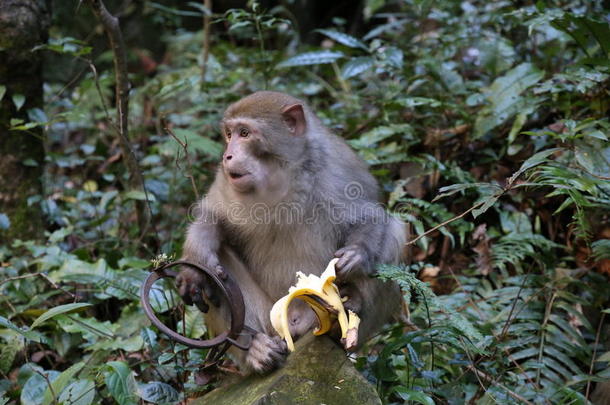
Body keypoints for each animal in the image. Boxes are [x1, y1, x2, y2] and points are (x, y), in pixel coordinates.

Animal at [176, 90, 404, 372]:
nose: (227, 156)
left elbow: (370, 215)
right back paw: (255, 349)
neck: (281, 172)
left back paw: (350, 308)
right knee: (219, 267)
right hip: (270, 320)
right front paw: (195, 267)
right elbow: (213, 217)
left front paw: (356, 256)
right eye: (229, 135)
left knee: (394, 232)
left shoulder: (337, 170)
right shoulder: (227, 182)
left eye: (244, 133)